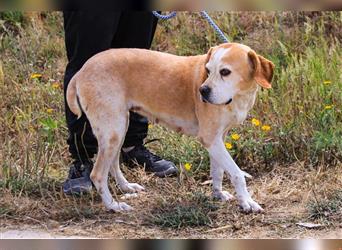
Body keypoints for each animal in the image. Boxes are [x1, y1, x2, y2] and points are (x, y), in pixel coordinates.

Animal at [67, 42, 276, 213]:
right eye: (208, 71)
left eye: (225, 72)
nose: (202, 91)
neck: (238, 97)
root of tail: (82, 70)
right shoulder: (210, 139)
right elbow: (237, 174)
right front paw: (247, 202)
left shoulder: (219, 139)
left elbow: (218, 171)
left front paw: (218, 194)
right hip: (113, 131)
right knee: (97, 174)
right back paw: (113, 206)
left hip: (119, 128)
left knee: (113, 164)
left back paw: (126, 187)